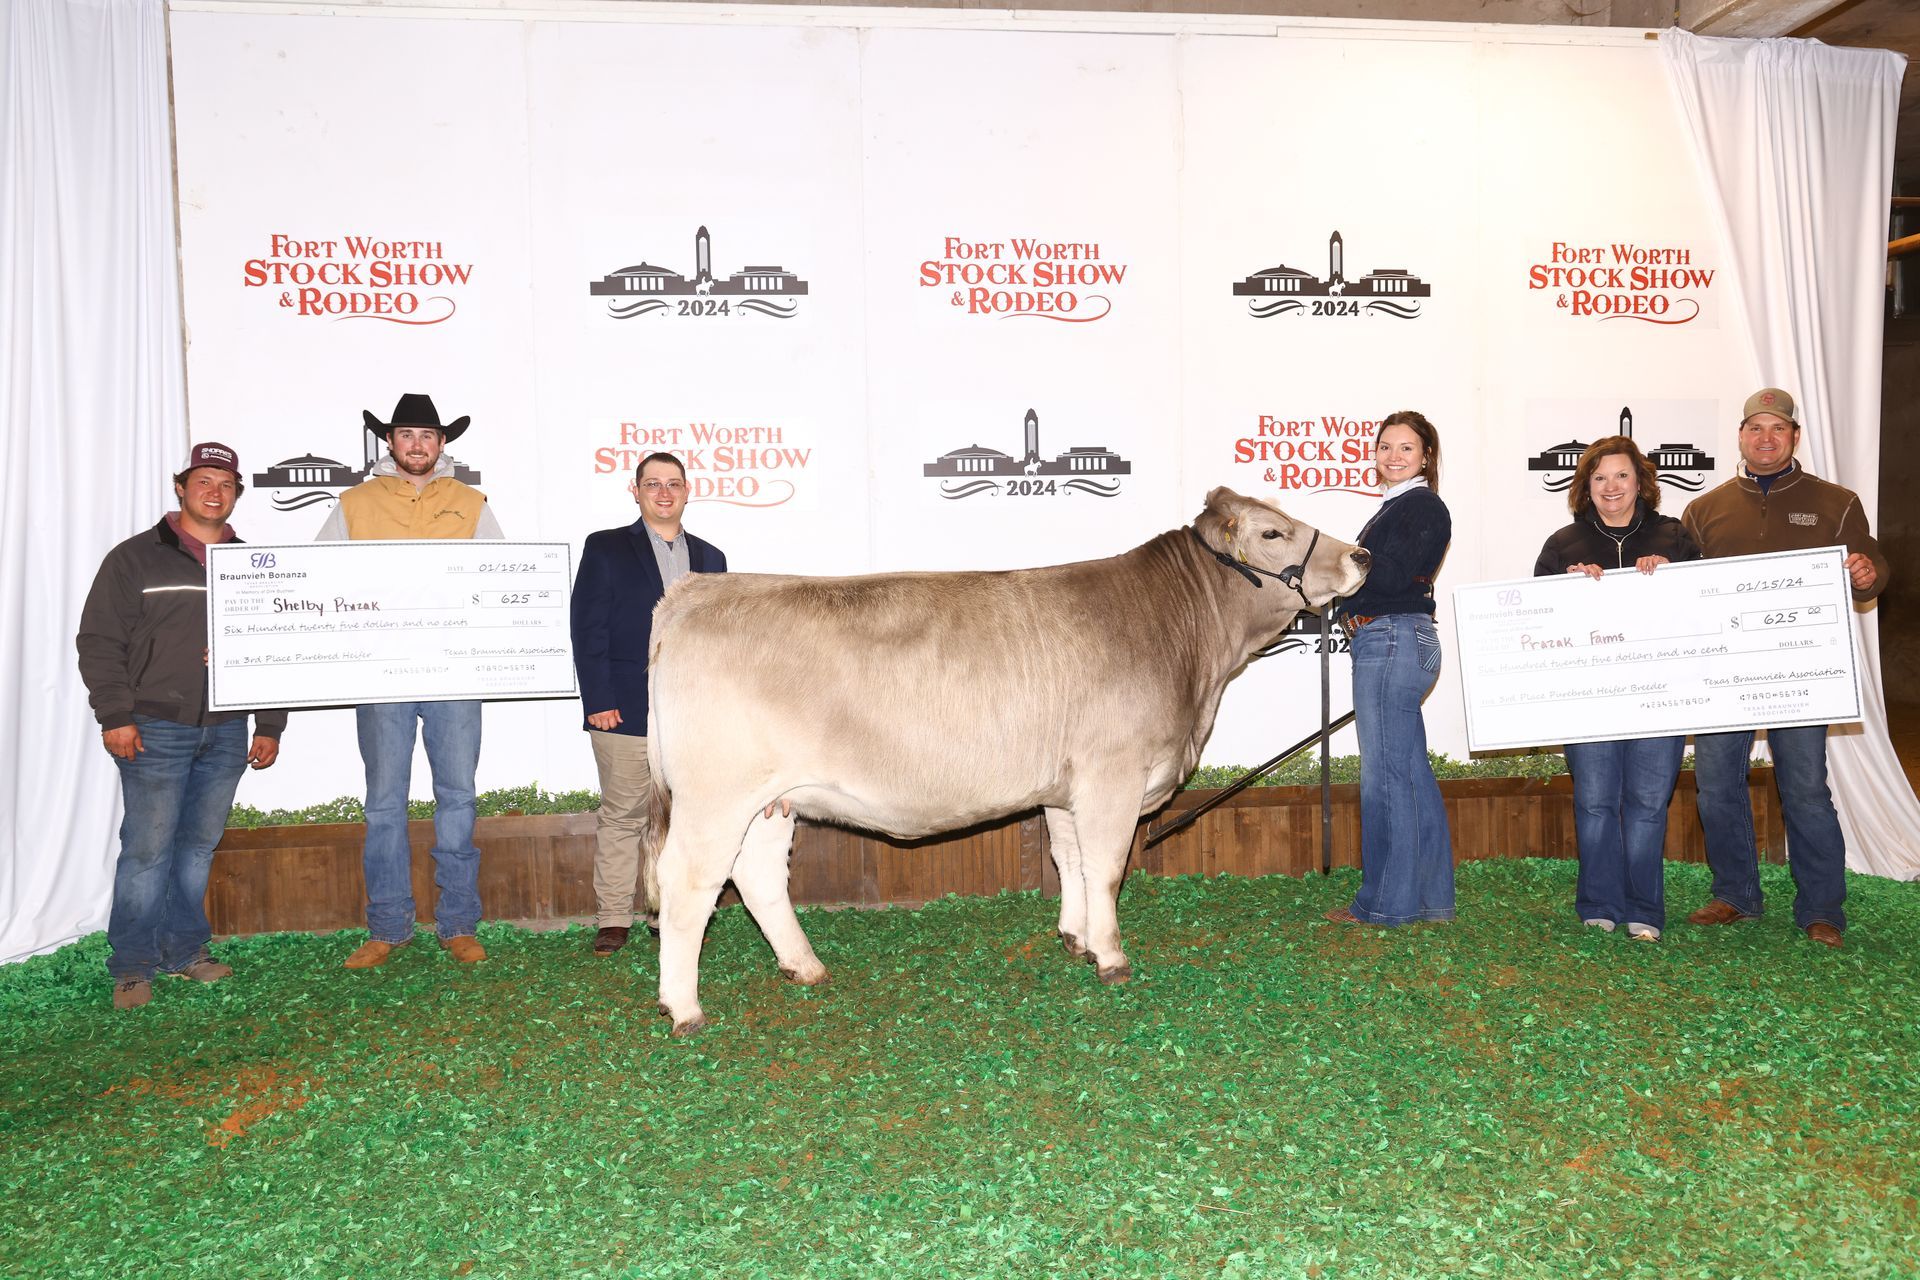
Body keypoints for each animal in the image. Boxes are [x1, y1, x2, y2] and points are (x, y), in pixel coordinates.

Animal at [641, 487, 1370, 1034]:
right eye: (1273, 533)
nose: (1361, 555)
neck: (1190, 655)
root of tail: (694, 593)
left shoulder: (1068, 784)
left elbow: (1071, 860)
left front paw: (1076, 938)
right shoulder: (1113, 771)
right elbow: (1108, 866)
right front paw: (1111, 957)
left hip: (771, 799)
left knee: (758, 875)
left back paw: (804, 966)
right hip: (717, 794)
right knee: (688, 881)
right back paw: (685, 1008)